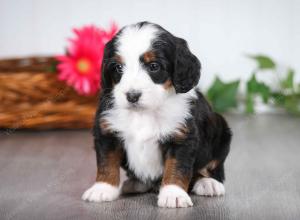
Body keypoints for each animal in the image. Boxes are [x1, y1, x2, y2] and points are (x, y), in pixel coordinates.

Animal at [82, 21, 232, 208]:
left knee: (211, 168)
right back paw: (135, 183)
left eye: (154, 66)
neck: (144, 112)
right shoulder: (106, 132)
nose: (132, 96)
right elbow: (106, 163)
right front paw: (102, 188)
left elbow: (176, 168)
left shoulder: (182, 137)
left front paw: (173, 194)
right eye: (118, 67)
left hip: (221, 131)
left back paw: (207, 183)